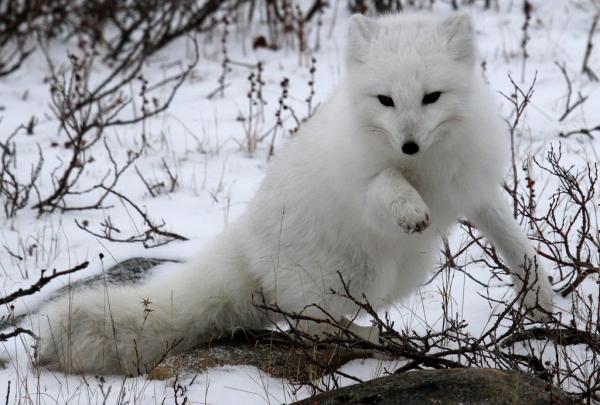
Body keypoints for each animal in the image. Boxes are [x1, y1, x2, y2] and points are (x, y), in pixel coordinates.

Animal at [36, 11, 552, 372]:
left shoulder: (472, 188)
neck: (425, 167)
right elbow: (385, 184)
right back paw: (368, 336)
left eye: (431, 97)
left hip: (402, 272)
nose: (408, 144)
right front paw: (409, 209)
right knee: (306, 323)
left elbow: (513, 240)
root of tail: (245, 240)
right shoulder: (366, 187)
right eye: (385, 100)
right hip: (360, 273)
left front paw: (540, 299)